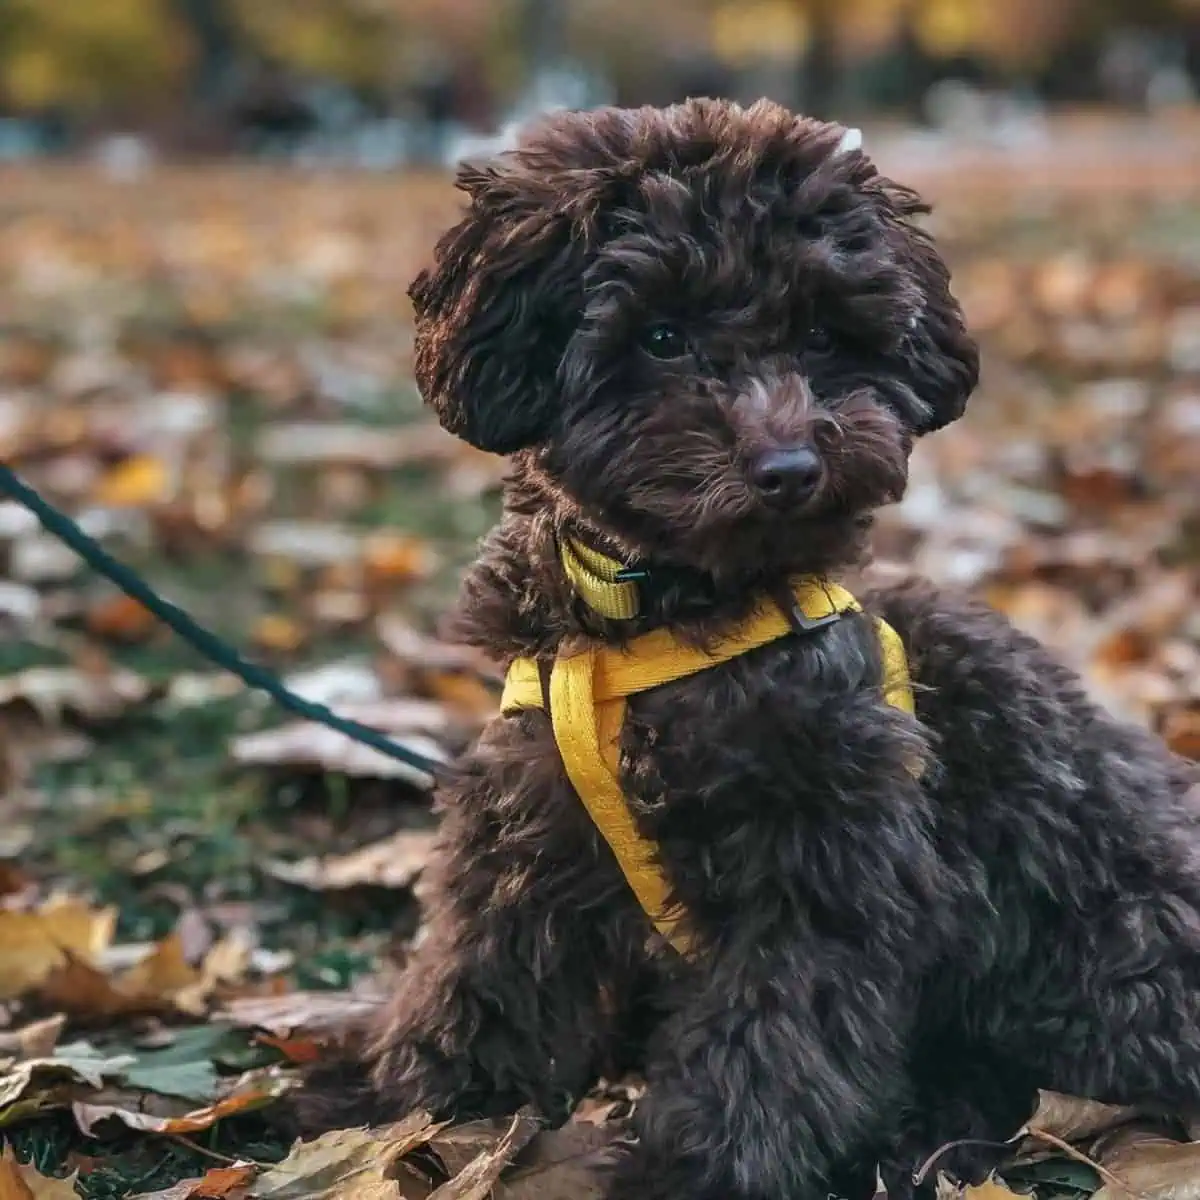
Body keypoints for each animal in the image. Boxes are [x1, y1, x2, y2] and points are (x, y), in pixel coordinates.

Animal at [297, 100, 1200, 1200]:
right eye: (661, 335)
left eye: (821, 333)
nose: (790, 467)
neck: (660, 621)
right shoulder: (527, 823)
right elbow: (476, 983)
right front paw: (400, 1110)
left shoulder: (824, 861)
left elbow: (768, 1045)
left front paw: (690, 1172)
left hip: (1108, 940)